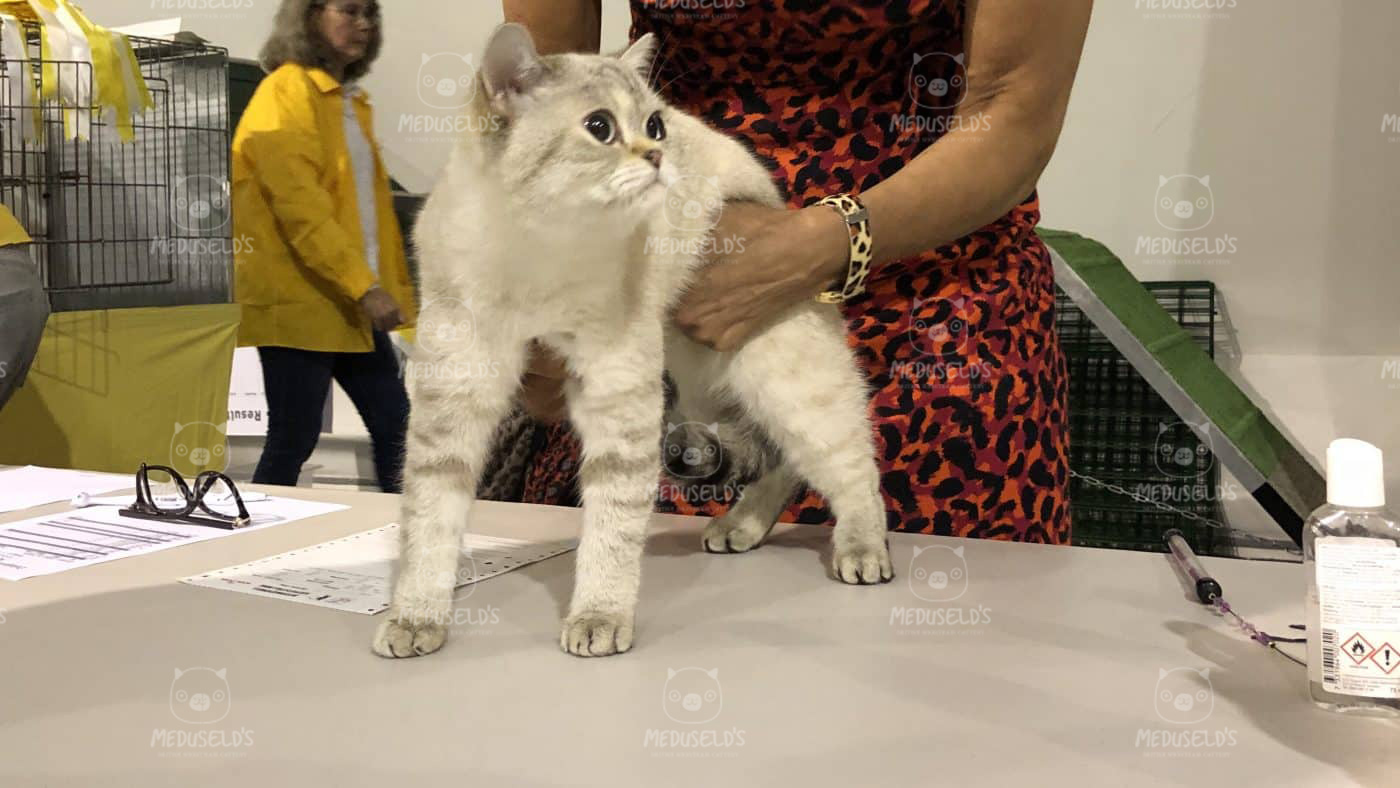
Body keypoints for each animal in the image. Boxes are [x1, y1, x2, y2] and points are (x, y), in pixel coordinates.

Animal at [375, 24, 896, 663]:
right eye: (600, 127)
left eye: (655, 125)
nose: (658, 155)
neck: (538, 252)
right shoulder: (455, 394)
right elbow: (429, 523)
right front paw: (416, 619)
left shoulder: (618, 392)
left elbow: (611, 531)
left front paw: (598, 618)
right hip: (699, 393)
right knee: (779, 463)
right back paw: (741, 527)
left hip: (784, 386)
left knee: (847, 468)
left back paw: (861, 550)